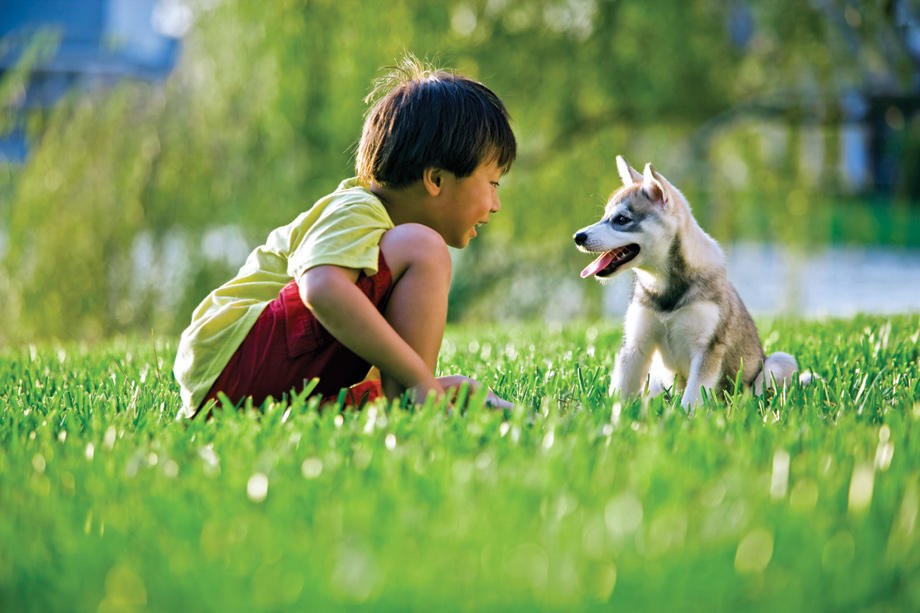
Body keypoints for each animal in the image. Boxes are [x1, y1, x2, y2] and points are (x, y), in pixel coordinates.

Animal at [576, 157, 796, 412]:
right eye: (604, 216)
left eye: (621, 219)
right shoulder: (635, 345)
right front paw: (611, 414)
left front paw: (684, 417)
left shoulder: (706, 349)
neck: (664, 288)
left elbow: (692, 396)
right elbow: (621, 388)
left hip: (780, 362)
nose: (578, 237)